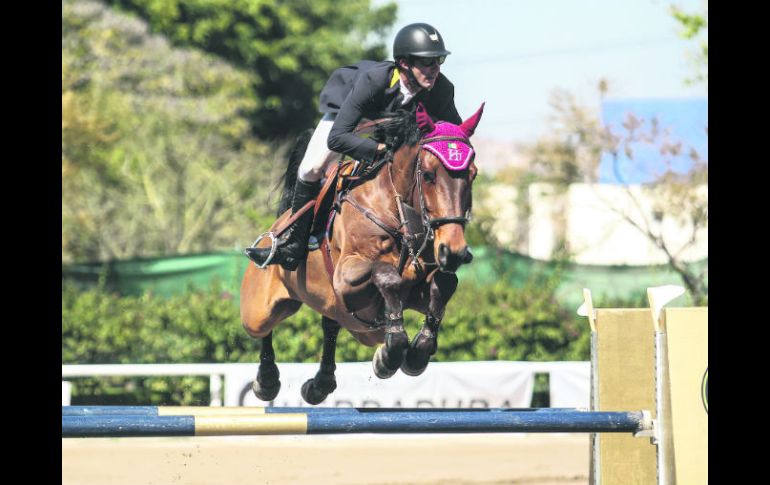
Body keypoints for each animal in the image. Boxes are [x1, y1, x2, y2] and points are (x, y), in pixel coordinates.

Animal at [240, 103, 484, 404]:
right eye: (428, 175)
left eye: (473, 174)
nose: (454, 252)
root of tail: (278, 225)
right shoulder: (347, 277)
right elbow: (386, 274)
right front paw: (391, 352)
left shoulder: (417, 287)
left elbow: (445, 282)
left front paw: (416, 352)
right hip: (259, 310)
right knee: (264, 329)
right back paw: (267, 382)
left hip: (347, 318)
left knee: (330, 326)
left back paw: (320, 384)